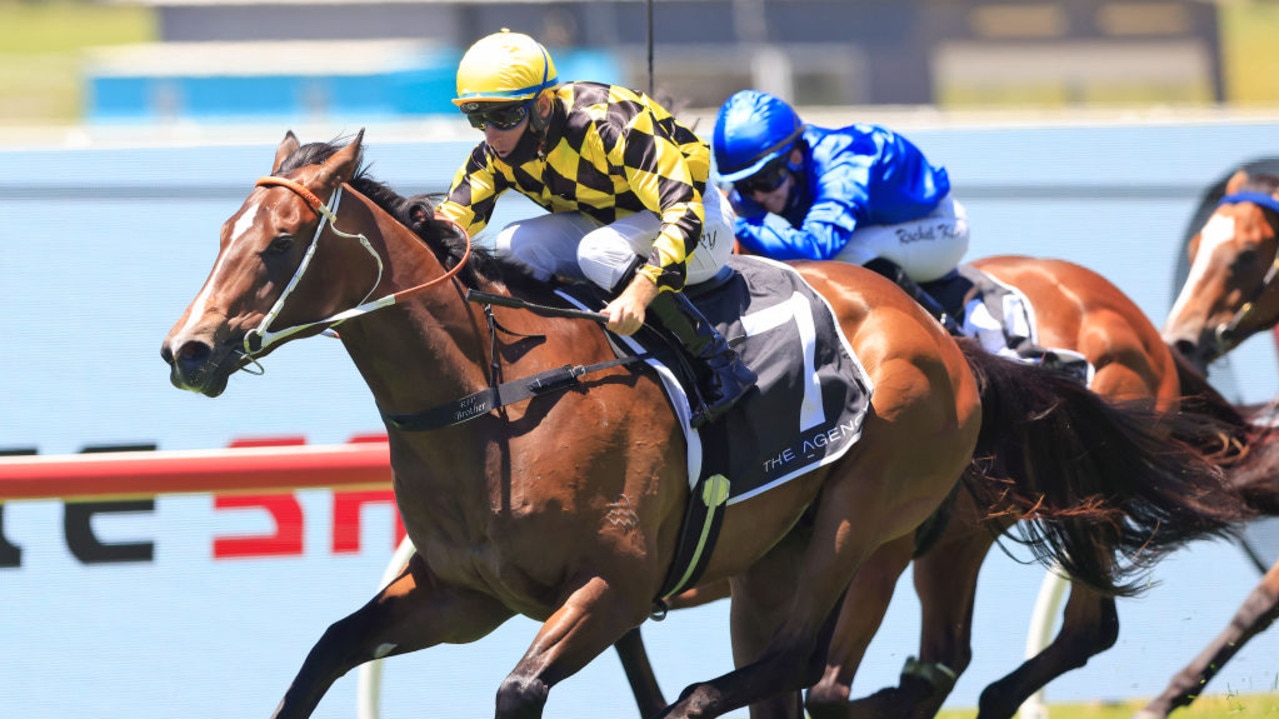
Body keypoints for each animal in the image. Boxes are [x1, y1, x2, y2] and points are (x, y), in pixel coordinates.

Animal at [159, 129, 1248, 716]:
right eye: (220, 234)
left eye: (283, 240)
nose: (190, 348)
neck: (497, 404)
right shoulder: (461, 592)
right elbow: (326, 651)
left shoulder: (614, 582)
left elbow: (519, 687)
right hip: (797, 553)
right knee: (818, 671)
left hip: (871, 521)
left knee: (811, 663)